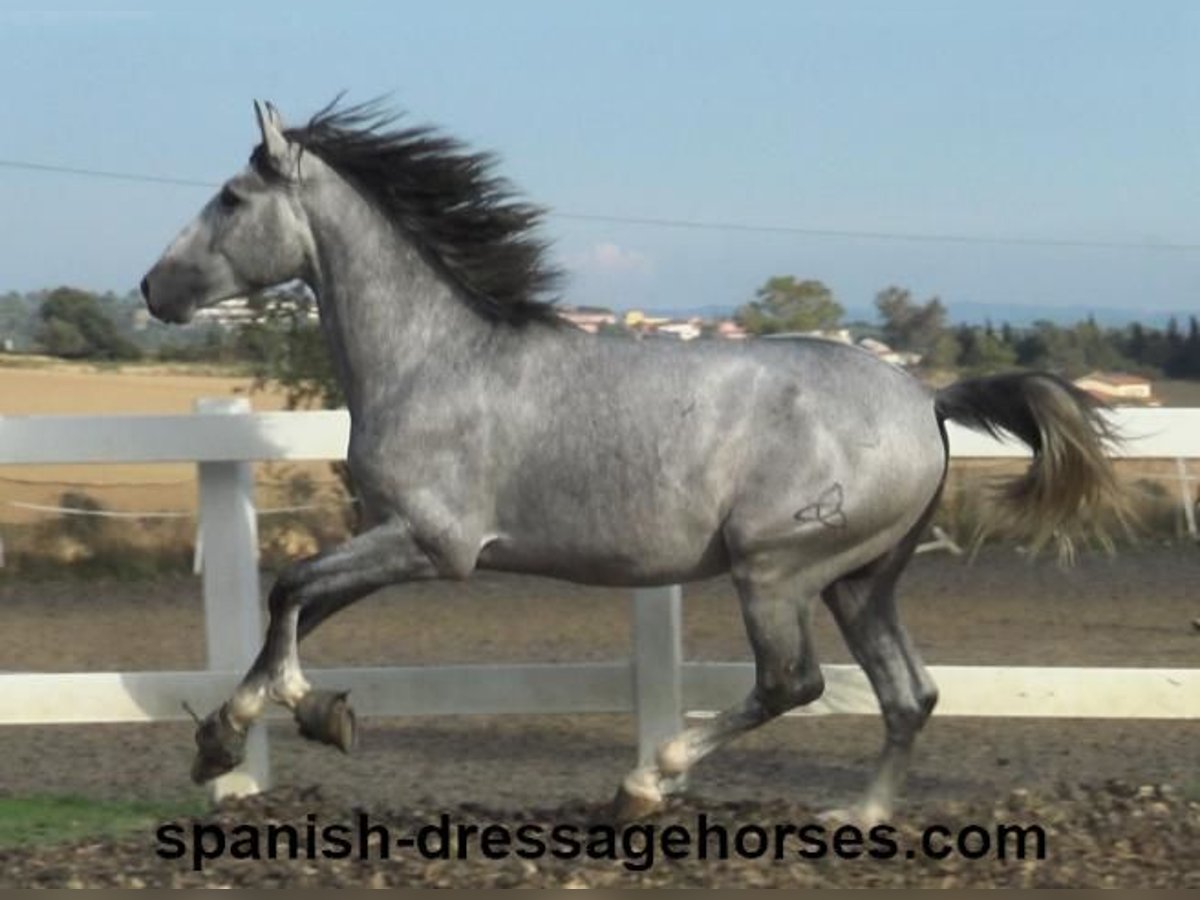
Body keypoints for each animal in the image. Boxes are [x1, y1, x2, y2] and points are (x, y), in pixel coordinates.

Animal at [140, 100, 1123, 825]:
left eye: (231, 197)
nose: (153, 289)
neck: (435, 359)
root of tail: (928, 402)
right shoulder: (395, 539)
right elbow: (297, 606)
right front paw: (228, 739)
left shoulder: (432, 545)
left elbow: (288, 592)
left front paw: (300, 715)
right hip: (860, 581)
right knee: (908, 694)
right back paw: (859, 817)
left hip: (777, 570)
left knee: (793, 682)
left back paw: (646, 784)